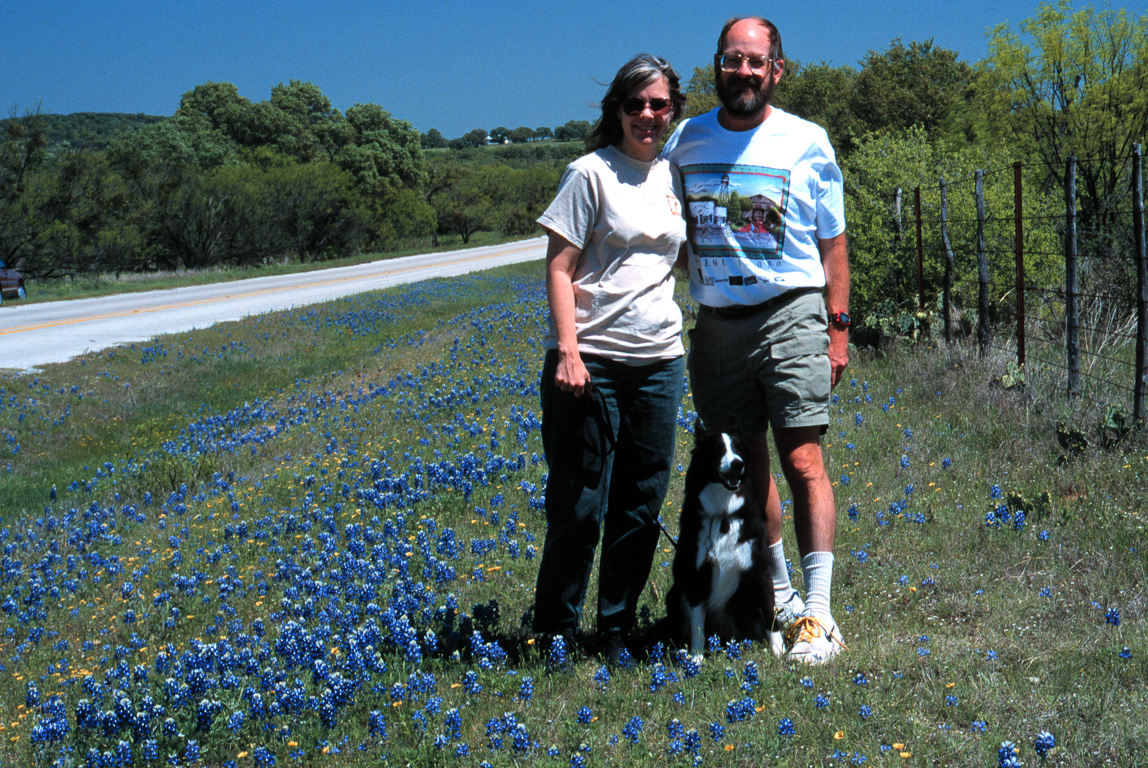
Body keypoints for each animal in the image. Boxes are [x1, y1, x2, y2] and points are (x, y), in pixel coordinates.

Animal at [665, 424, 771, 652]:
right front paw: (695, 656)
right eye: (717, 449)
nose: (738, 464)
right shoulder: (696, 576)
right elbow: (697, 629)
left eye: (738, 448)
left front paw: (780, 652)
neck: (723, 512)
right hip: (676, 595)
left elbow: (770, 615)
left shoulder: (758, 568)